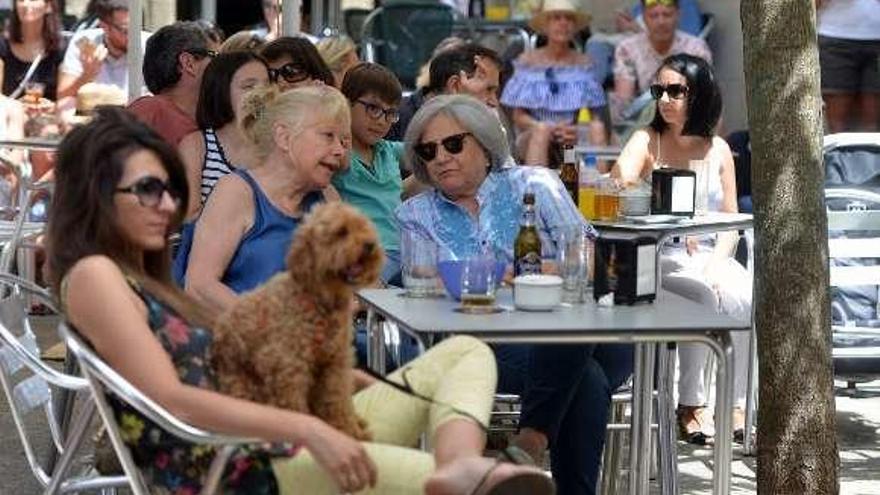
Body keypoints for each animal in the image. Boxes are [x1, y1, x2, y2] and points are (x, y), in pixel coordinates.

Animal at [213, 202, 384, 442]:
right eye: (341, 232)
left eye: (363, 226)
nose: (370, 245)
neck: (319, 300)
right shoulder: (289, 368)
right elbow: (296, 409)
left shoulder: (336, 364)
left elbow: (339, 402)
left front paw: (352, 431)